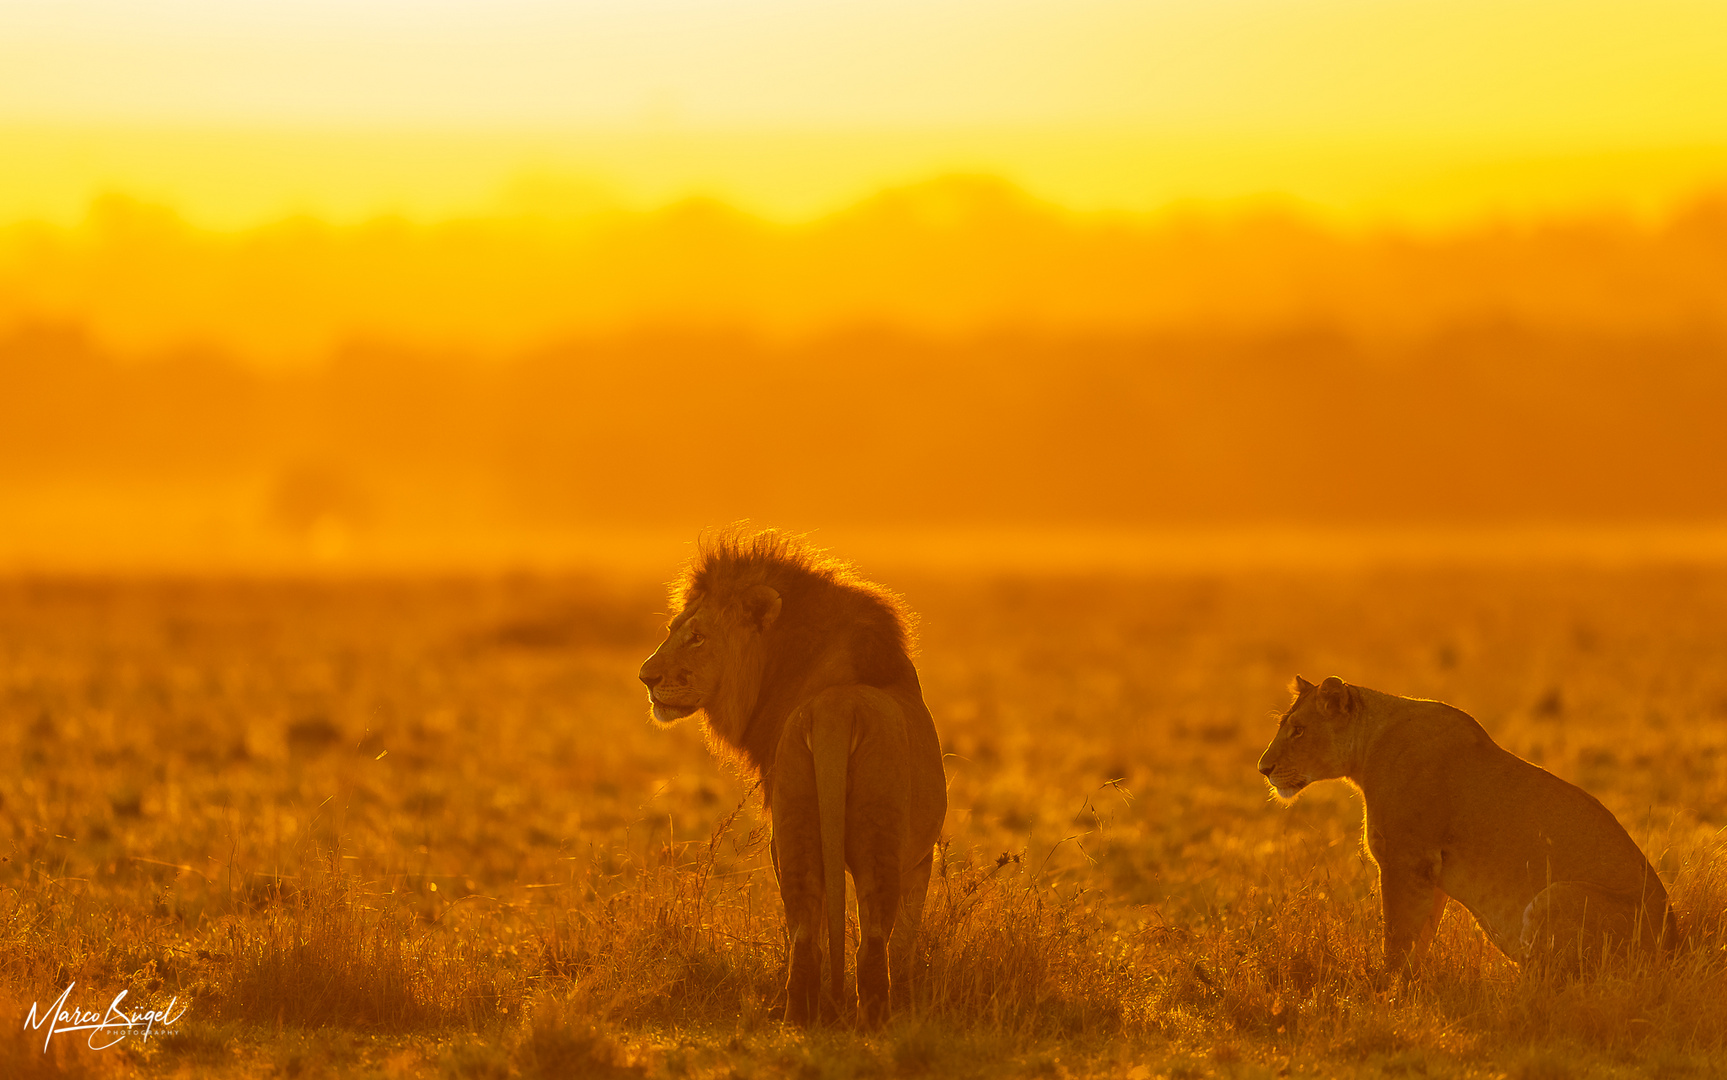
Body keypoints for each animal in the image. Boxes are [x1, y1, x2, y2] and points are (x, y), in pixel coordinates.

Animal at [638, 532, 946, 1029]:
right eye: (674, 630)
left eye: (697, 636)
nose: (646, 678)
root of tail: (837, 707)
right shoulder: (920, 859)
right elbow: (903, 937)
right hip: (861, 836)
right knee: (867, 939)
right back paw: (862, 1021)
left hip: (796, 830)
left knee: (807, 932)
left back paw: (802, 1018)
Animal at [1264, 677, 1664, 974]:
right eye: (1286, 727)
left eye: (1298, 731)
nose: (1262, 768)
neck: (1367, 748)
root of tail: (1672, 945)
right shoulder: (1429, 873)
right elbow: (1420, 934)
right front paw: (1412, 981)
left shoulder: (1405, 859)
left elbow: (1397, 934)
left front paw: (1386, 985)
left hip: (1557, 895)